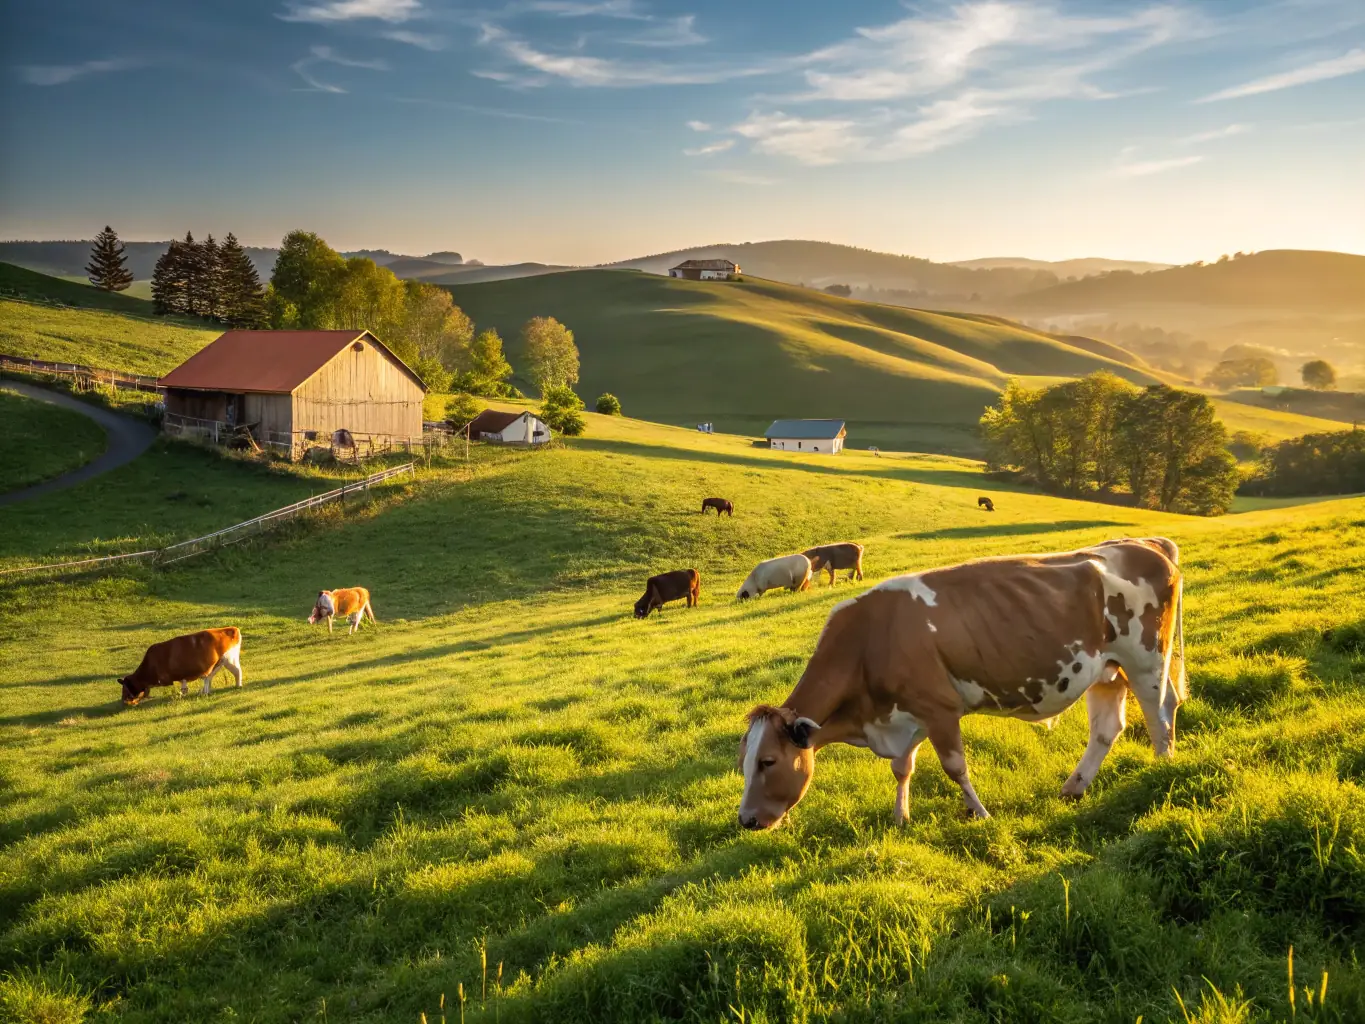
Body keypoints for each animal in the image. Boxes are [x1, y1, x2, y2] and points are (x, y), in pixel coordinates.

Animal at [737, 538, 1185, 829]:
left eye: (768, 762)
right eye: (744, 762)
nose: (745, 820)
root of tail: (1146, 543)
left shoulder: (940, 709)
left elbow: (954, 767)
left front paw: (980, 813)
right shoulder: (906, 712)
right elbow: (902, 768)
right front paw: (901, 817)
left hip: (1146, 661)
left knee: (1160, 713)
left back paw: (1162, 769)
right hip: (1106, 670)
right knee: (1107, 729)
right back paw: (1074, 788)